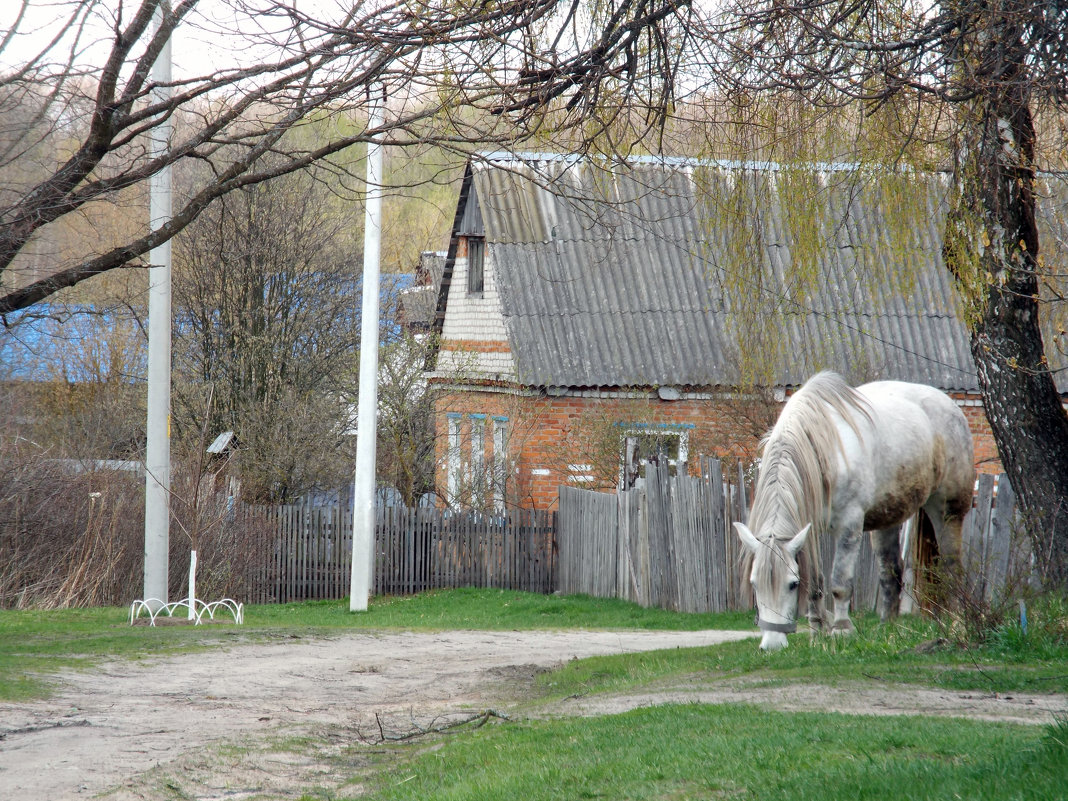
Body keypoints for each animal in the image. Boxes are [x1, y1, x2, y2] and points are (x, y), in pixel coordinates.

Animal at [734, 371, 978, 653]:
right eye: (754, 583)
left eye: (792, 584)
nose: (772, 645)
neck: (822, 450)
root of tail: (952, 407)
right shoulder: (810, 531)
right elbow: (816, 583)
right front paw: (817, 632)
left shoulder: (849, 525)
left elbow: (840, 581)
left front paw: (841, 629)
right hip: (888, 518)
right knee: (891, 571)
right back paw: (887, 630)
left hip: (948, 511)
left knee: (952, 566)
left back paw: (958, 624)